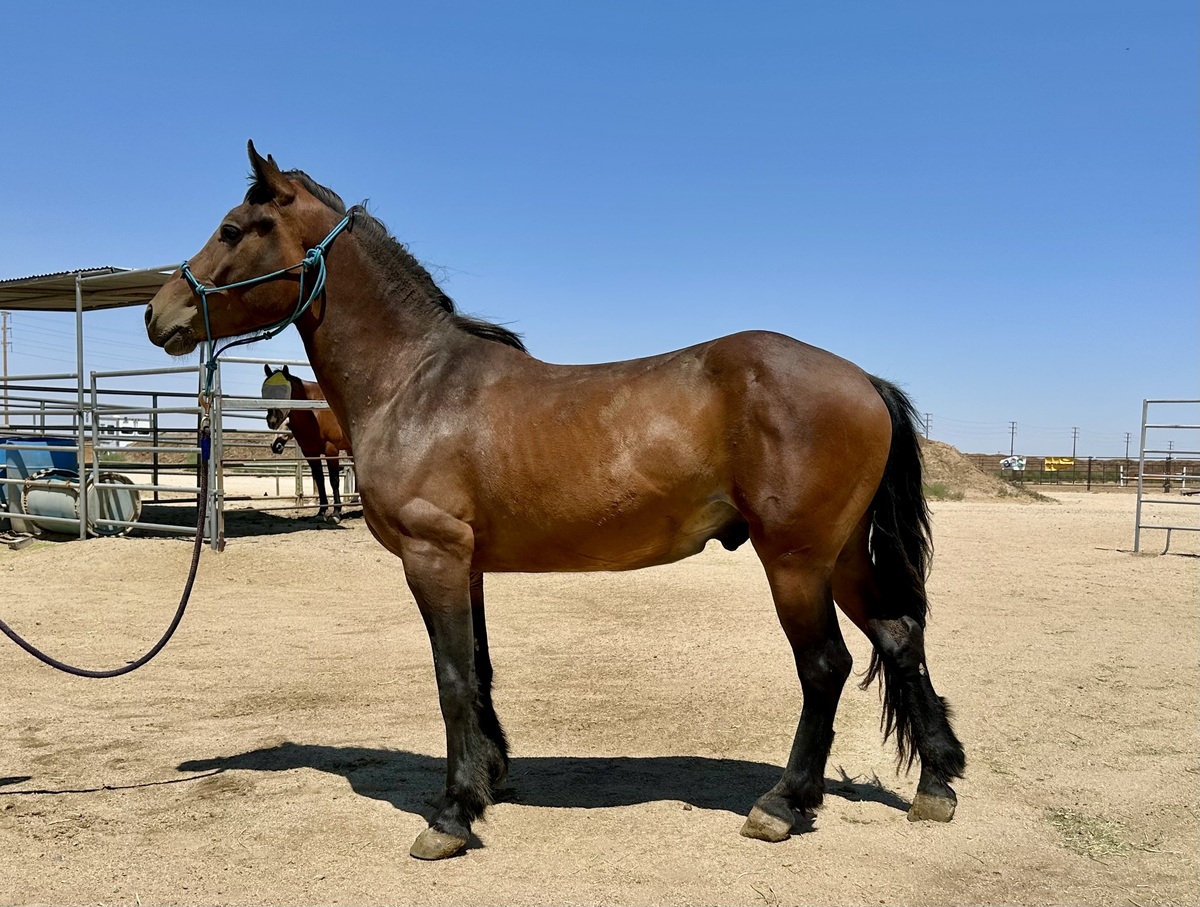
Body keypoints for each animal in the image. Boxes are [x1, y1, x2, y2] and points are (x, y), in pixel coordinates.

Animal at [261, 364, 353, 521]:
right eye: (265, 391)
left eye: (285, 391)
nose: (272, 420)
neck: (315, 412)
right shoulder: (310, 453)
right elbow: (319, 480)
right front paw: (321, 511)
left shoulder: (331, 450)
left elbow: (334, 480)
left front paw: (336, 512)